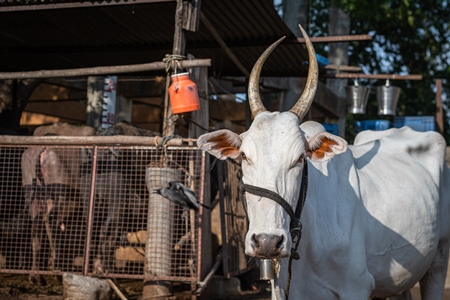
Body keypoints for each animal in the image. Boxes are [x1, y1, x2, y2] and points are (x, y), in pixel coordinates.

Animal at [21, 122, 96, 282]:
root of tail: (42, 149)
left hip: (34, 196)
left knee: (37, 226)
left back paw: (36, 275)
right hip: (63, 198)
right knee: (50, 221)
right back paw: (55, 265)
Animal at [198, 25, 450, 300]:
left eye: (300, 158)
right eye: (244, 155)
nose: (267, 242)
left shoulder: (356, 287)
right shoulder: (280, 290)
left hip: (438, 261)